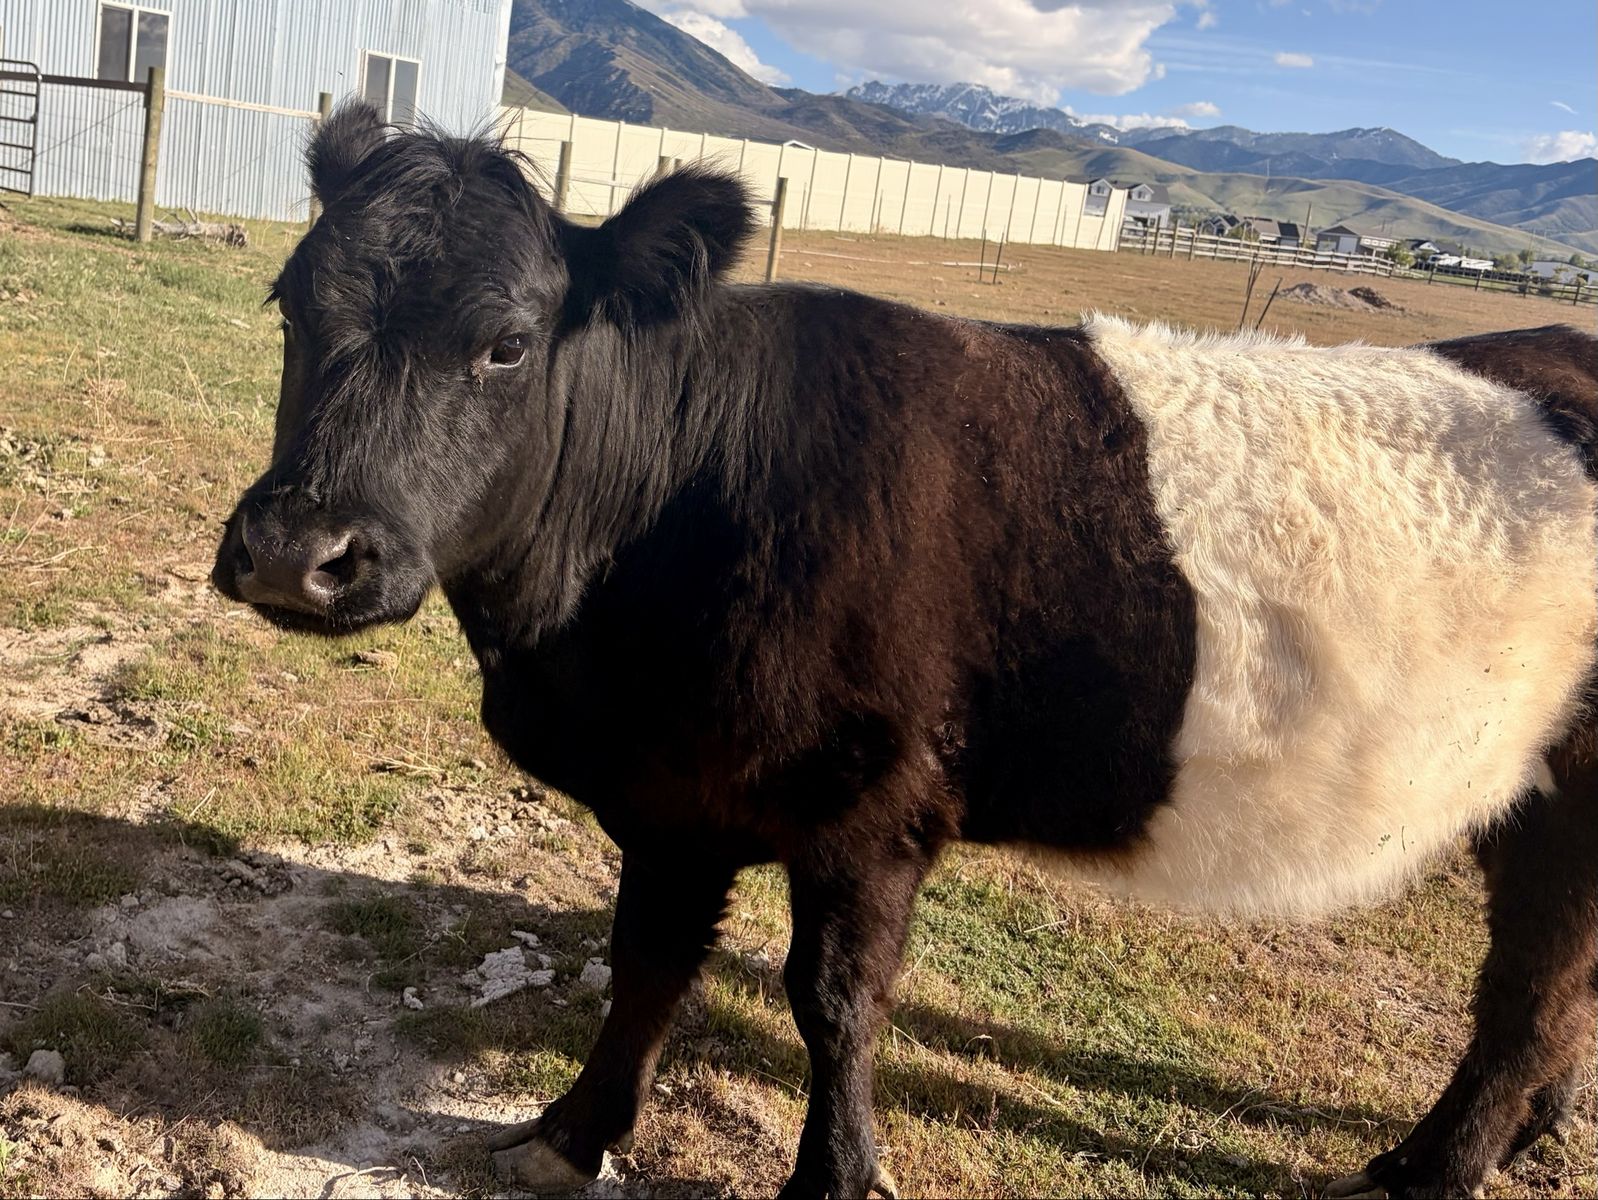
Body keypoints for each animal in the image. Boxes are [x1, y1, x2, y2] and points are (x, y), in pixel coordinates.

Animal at [212, 105, 1598, 1199]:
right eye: (288, 306)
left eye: (503, 341)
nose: (296, 552)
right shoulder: (675, 800)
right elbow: (646, 963)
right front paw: (570, 1134)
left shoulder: (868, 807)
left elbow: (833, 1002)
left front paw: (831, 1178)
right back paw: (1528, 1133)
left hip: (1565, 803)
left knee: (1527, 995)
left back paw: (1430, 1168)